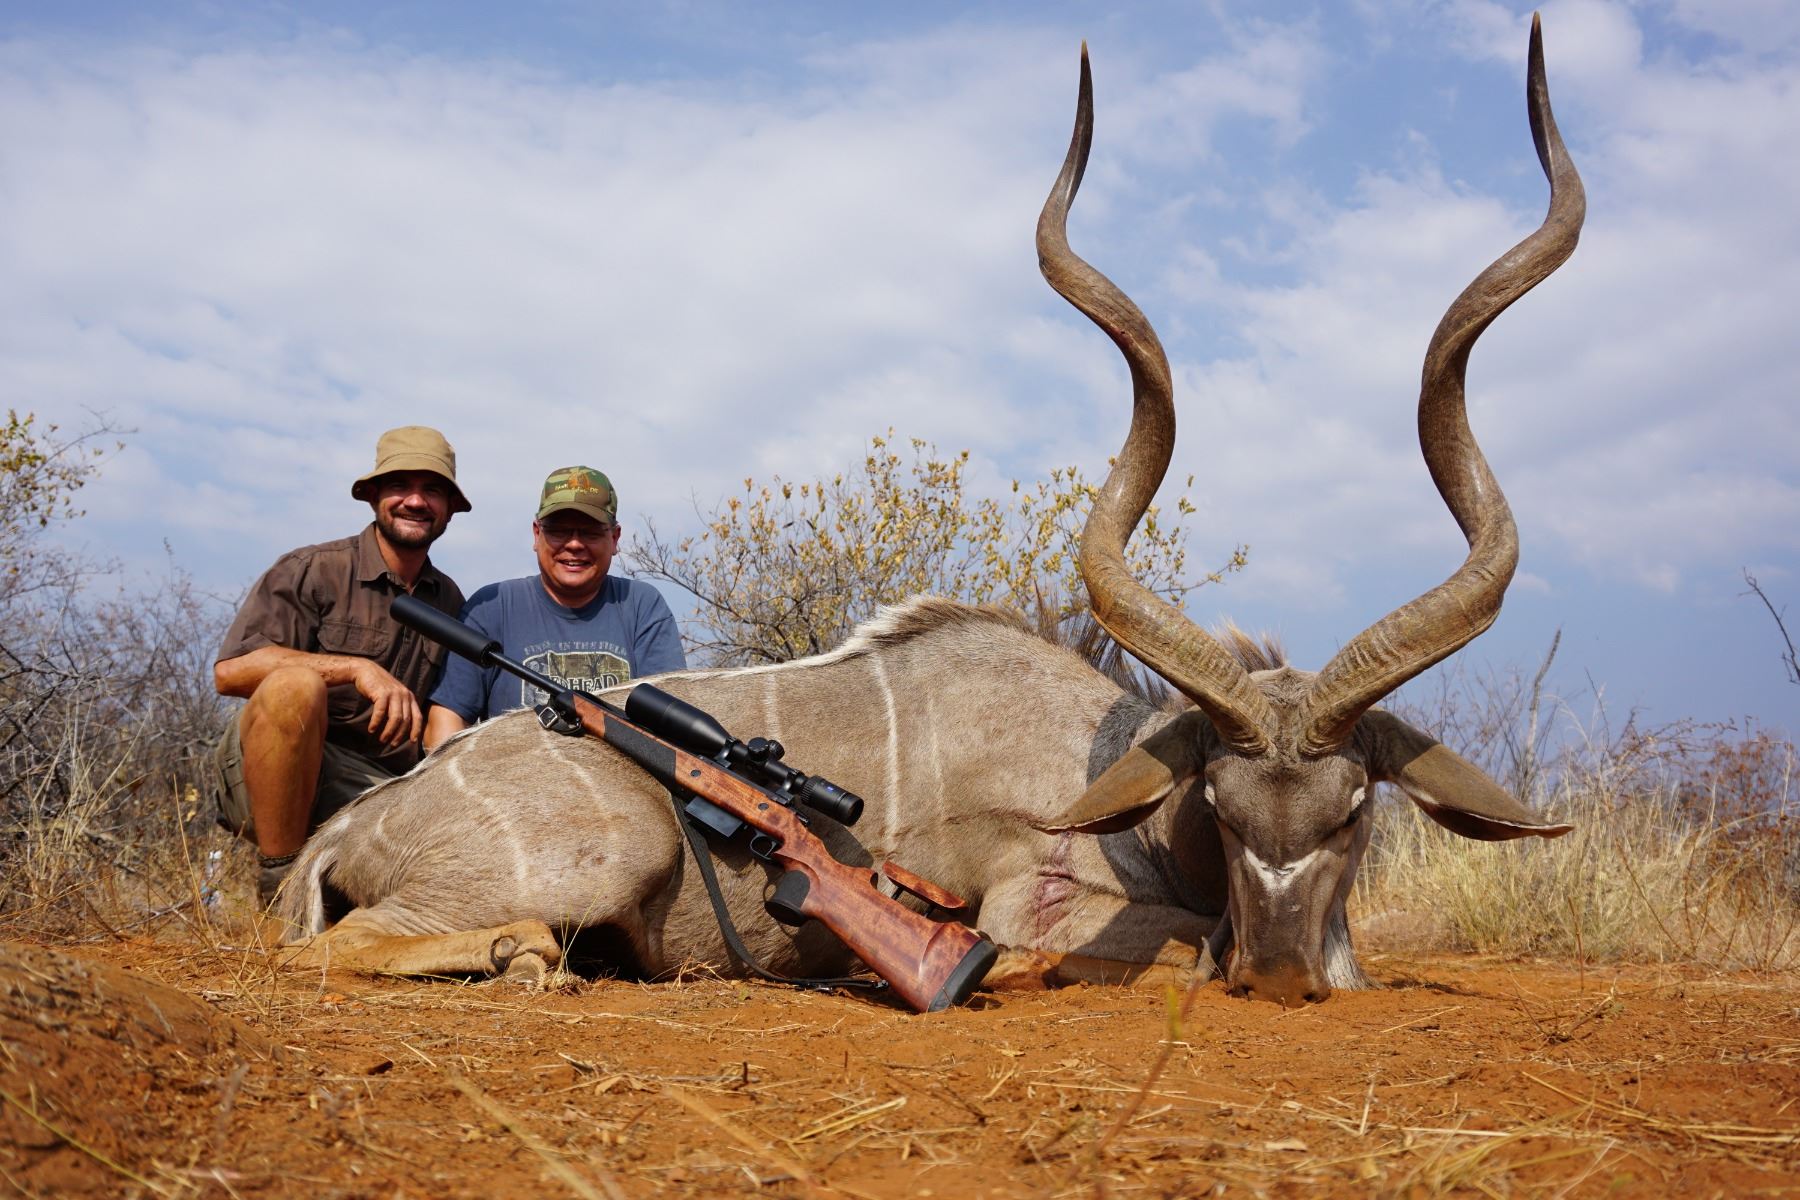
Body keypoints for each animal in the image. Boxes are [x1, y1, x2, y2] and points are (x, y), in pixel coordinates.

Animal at [273, 18, 1581, 1006]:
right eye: (1218, 799)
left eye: (1356, 808)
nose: (1276, 977)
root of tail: (353, 831)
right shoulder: (1032, 904)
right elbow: (1136, 951)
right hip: (617, 848)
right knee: (350, 949)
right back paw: (524, 956)